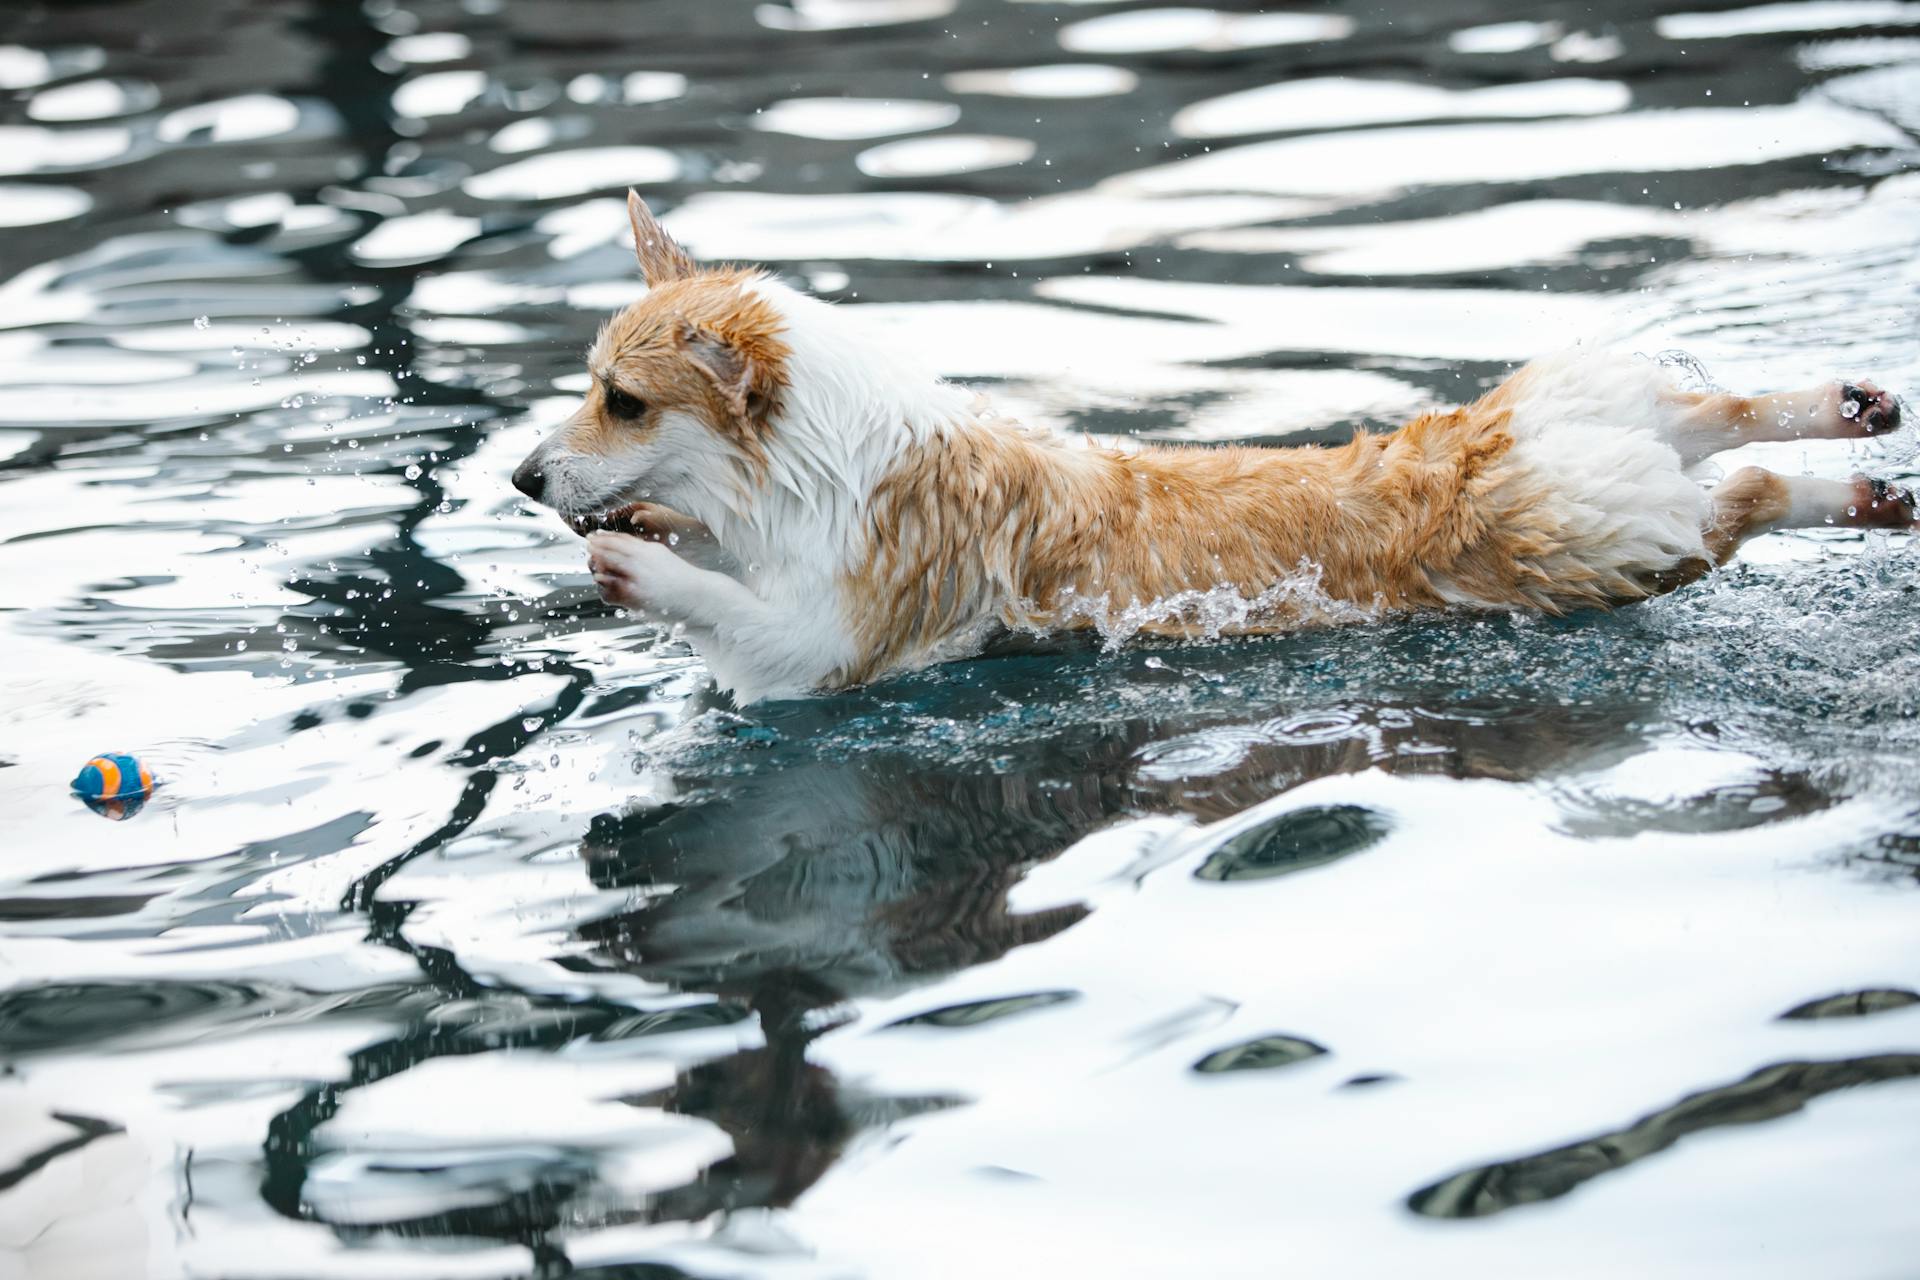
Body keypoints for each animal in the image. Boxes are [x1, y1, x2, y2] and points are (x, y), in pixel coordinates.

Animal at [510, 192, 1904, 702]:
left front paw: (637, 567)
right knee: (1727, 427)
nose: (520, 478)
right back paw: (1858, 426)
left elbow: (733, 611)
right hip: (1590, 441)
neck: (814, 466)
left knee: (1743, 490)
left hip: (1584, 541)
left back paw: (1855, 473)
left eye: (621, 401)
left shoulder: (823, 652)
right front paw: (646, 532)